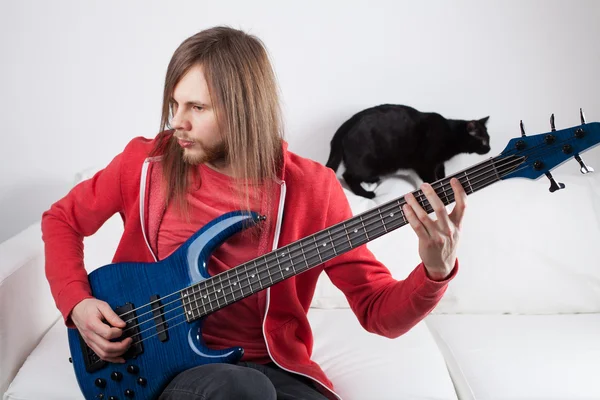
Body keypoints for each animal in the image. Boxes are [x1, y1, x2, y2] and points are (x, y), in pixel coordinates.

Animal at [326, 104, 490, 199]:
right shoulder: (425, 164)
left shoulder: (439, 163)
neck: (451, 133)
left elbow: (441, 173)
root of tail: (345, 125)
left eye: (488, 139)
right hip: (371, 163)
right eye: (483, 141)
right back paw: (366, 193)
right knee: (348, 175)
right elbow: (432, 179)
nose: (489, 148)